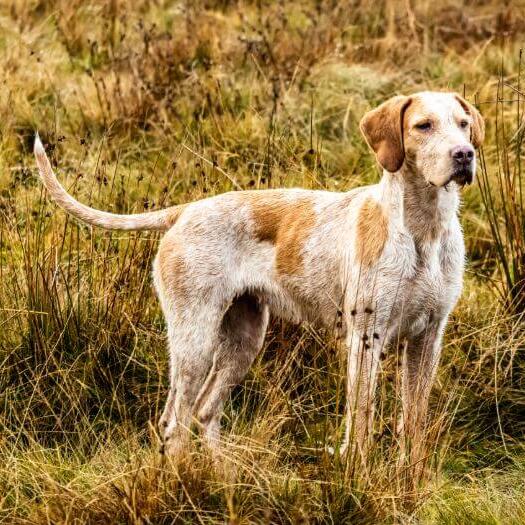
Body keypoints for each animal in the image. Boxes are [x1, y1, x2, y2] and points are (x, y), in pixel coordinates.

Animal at [32, 91, 484, 462]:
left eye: (463, 124)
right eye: (423, 126)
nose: (464, 154)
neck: (424, 230)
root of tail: (185, 211)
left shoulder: (427, 339)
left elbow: (415, 421)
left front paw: (410, 481)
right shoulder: (365, 338)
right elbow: (361, 421)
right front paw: (358, 475)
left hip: (244, 340)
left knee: (204, 412)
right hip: (194, 341)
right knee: (175, 421)